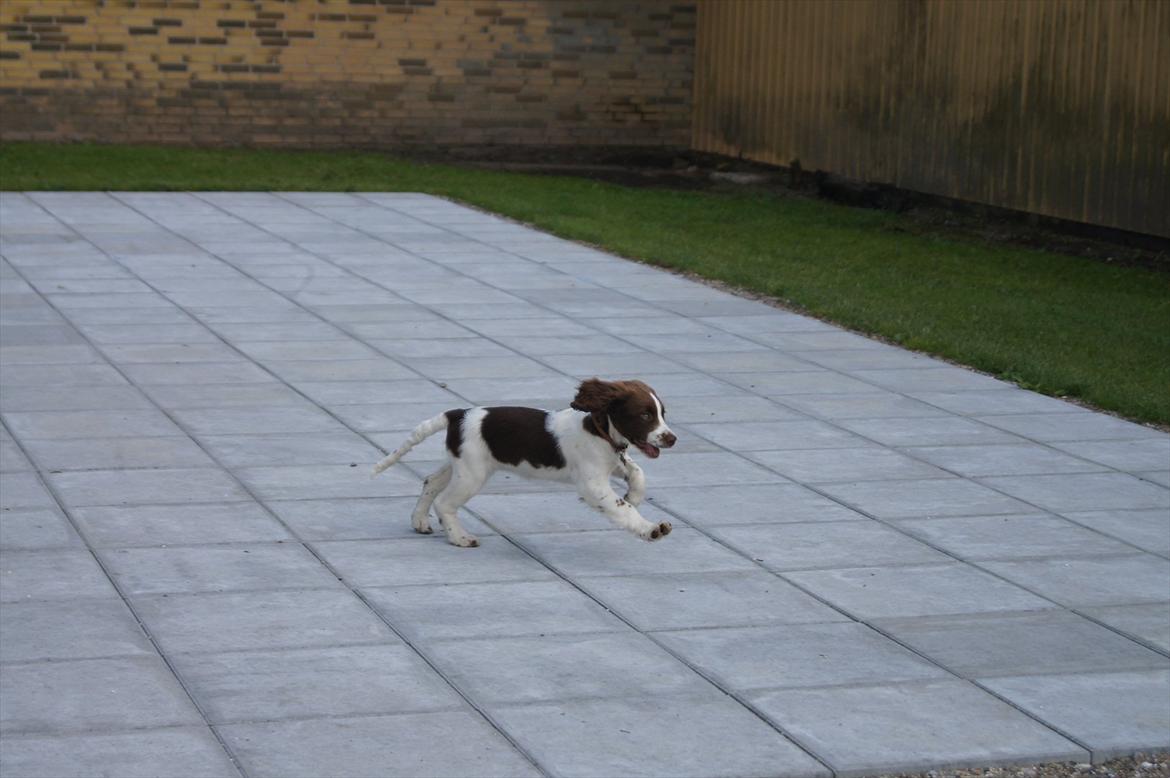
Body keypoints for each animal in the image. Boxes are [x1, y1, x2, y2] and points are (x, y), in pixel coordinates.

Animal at [374, 376, 678, 545]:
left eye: (662, 413)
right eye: (645, 415)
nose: (672, 438)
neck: (600, 432)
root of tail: (457, 414)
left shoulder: (612, 463)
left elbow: (636, 471)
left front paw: (635, 495)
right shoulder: (593, 484)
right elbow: (623, 509)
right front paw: (651, 529)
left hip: (460, 464)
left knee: (431, 481)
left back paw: (420, 521)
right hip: (472, 474)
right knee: (445, 502)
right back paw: (460, 538)